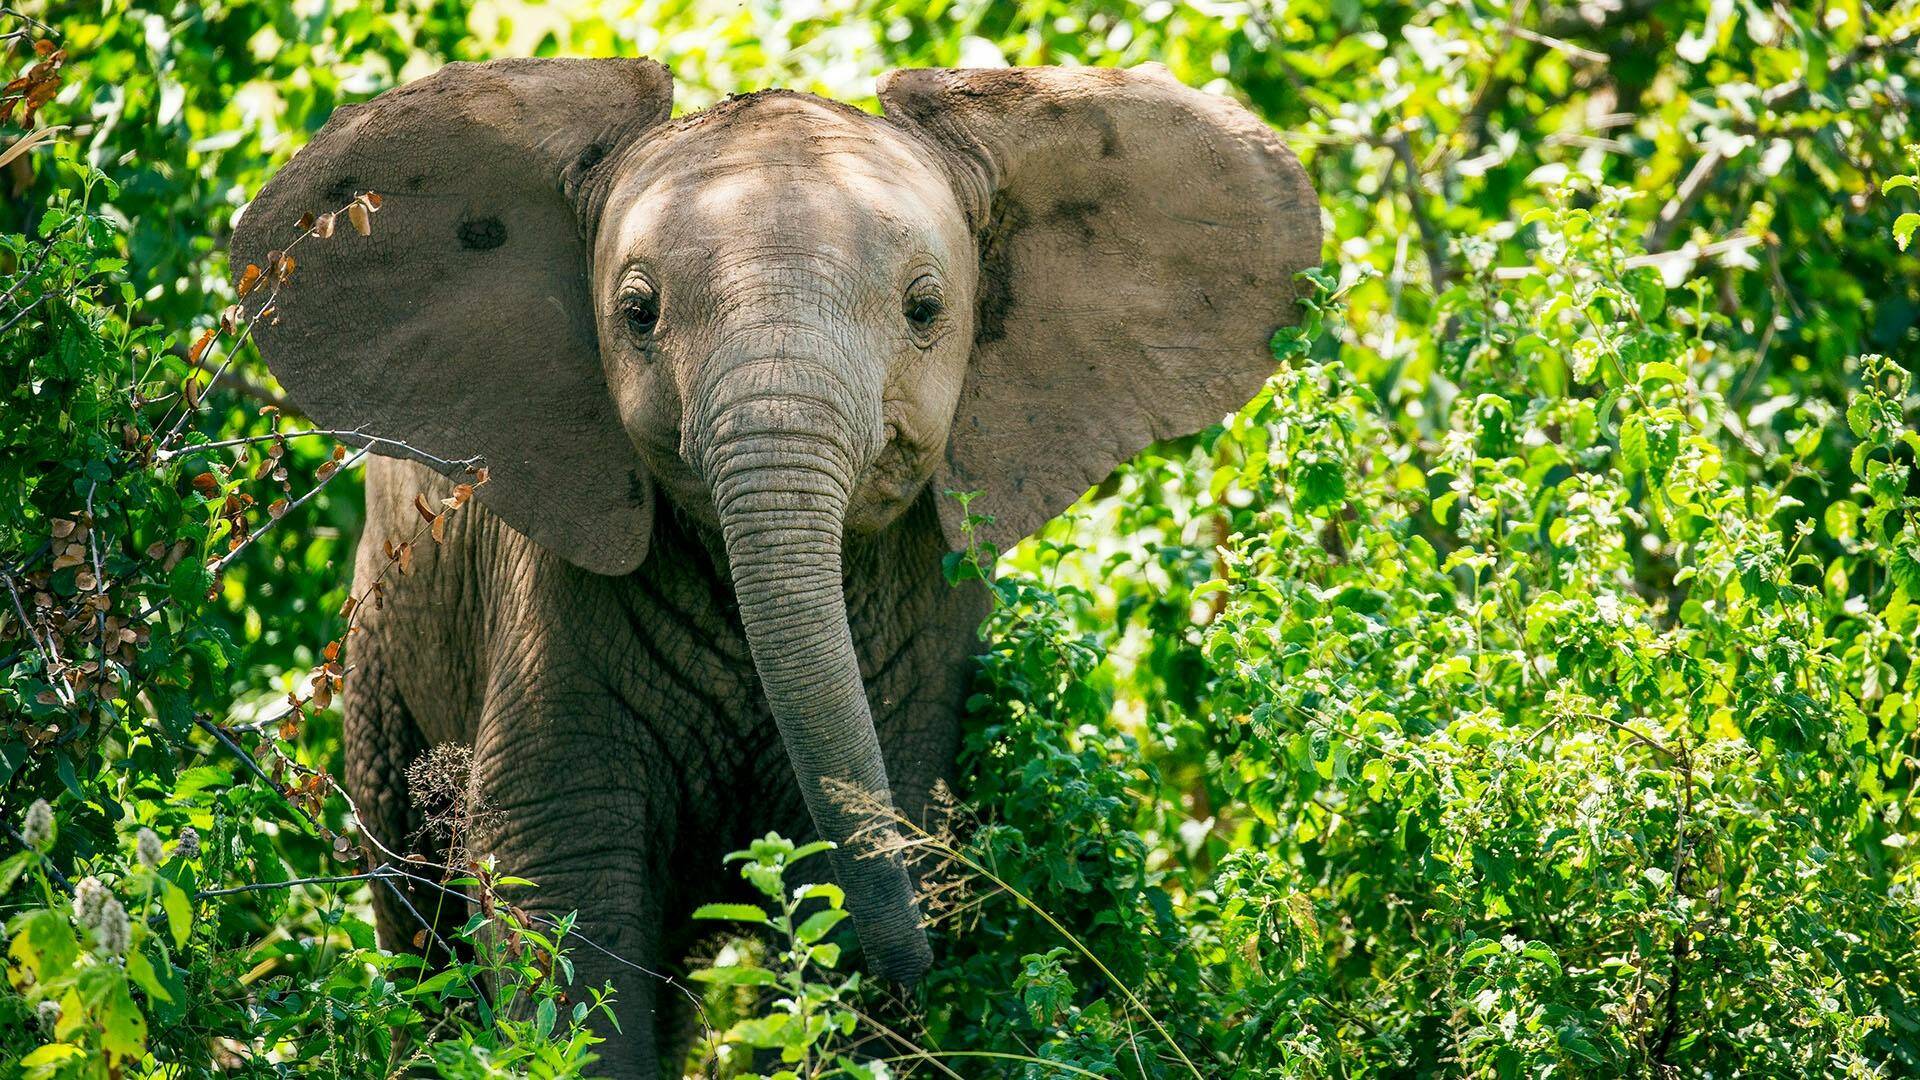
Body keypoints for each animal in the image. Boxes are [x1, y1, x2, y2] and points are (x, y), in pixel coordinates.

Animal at [232, 56, 1320, 1068]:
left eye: (926, 310)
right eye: (638, 314)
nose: (927, 962)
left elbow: (867, 833)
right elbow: (560, 879)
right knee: (420, 919)